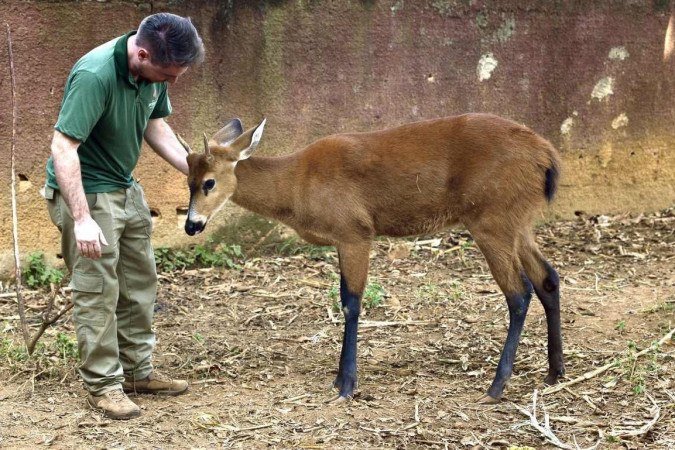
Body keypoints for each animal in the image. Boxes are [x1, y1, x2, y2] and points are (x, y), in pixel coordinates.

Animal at [180, 113, 564, 402]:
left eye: (209, 182)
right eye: (189, 180)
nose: (192, 225)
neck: (297, 181)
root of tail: (546, 155)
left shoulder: (355, 233)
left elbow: (351, 303)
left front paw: (346, 386)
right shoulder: (342, 240)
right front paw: (339, 381)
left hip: (491, 222)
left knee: (519, 293)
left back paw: (496, 388)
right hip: (518, 223)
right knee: (547, 279)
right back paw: (554, 372)